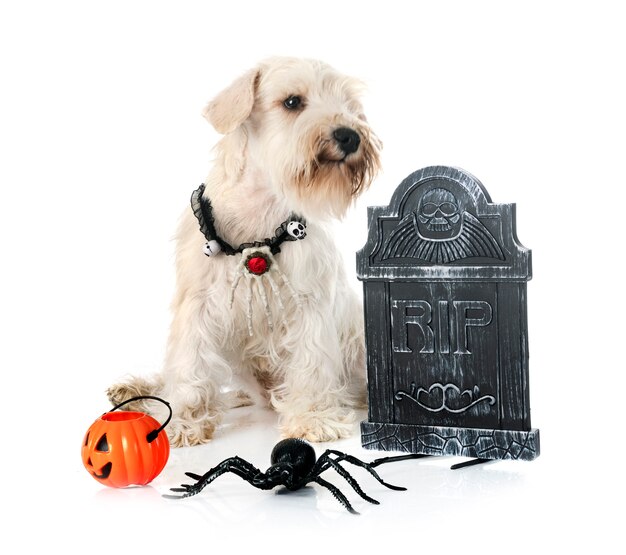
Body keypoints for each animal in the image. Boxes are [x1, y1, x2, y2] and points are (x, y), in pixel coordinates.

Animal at [107, 57, 380, 448]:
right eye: (292, 101)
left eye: (349, 105)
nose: (350, 135)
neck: (260, 209)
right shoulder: (198, 305)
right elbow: (189, 369)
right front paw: (183, 422)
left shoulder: (309, 307)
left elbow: (312, 366)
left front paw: (313, 418)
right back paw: (134, 391)